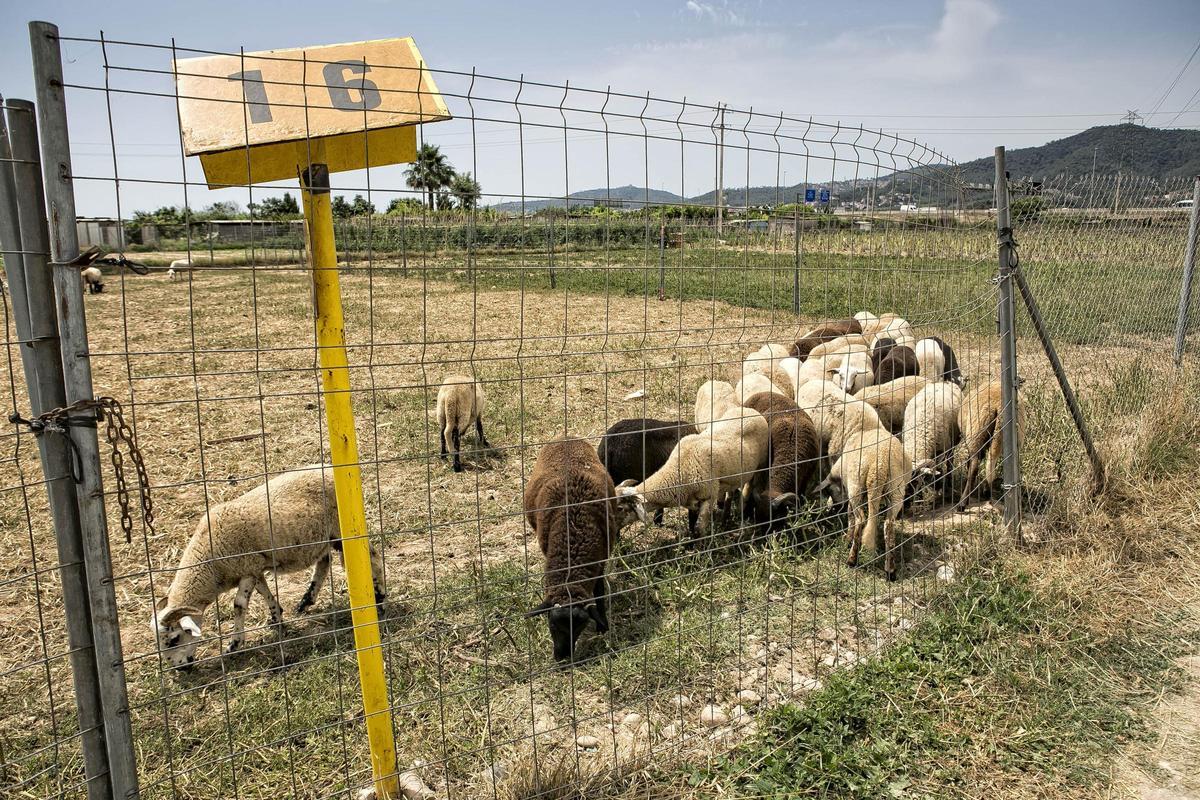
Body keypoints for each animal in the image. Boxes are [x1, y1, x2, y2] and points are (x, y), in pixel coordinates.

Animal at [148, 465, 384, 666]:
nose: (180, 668)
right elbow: (265, 592)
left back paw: (379, 597)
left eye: (174, 639)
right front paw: (277, 617)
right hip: (323, 538)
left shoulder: (247, 568)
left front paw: (235, 644)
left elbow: (238, 605)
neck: (211, 564)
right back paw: (306, 600)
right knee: (324, 563)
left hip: (341, 530)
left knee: (372, 557)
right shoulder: (254, 568)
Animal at [523, 438, 619, 662]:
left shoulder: (600, 562)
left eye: (580, 627)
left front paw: (603, 627)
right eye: (551, 624)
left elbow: (599, 593)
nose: (563, 656)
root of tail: (567, 437)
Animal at [619, 407, 768, 544]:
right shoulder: (691, 501)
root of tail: (751, 410)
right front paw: (690, 543)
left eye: (620, 508)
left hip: (761, 464)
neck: (679, 472)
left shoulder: (709, 496)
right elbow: (691, 523)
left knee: (750, 486)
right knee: (730, 492)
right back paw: (725, 518)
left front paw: (702, 548)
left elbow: (698, 529)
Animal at [950, 379, 1027, 510]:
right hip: (1010, 439)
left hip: (976, 433)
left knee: (975, 466)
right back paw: (989, 492)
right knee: (992, 463)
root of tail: (998, 406)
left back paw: (963, 502)